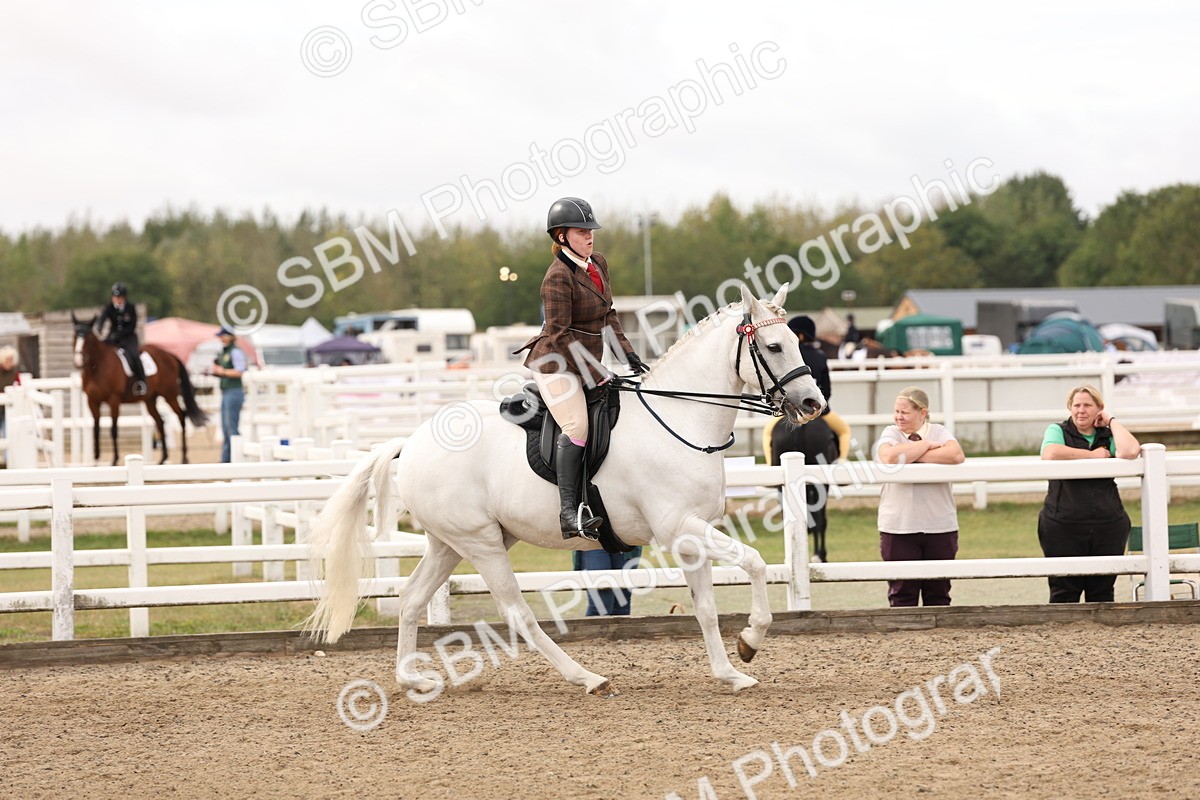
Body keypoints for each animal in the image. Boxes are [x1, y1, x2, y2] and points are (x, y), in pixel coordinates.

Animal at [72, 313, 210, 465]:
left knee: (181, 416)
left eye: (87, 339)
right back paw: (163, 459)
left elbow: (113, 429)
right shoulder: (92, 401)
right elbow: (96, 429)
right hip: (150, 400)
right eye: (75, 336)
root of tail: (169, 355)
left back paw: (184, 457)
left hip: (169, 395)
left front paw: (114, 460)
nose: (78, 361)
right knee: (160, 422)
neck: (96, 368)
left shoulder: (114, 400)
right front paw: (96, 460)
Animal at [306, 286, 826, 696]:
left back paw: (411, 679)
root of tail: (411, 442)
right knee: (517, 613)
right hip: (481, 543)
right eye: (774, 346)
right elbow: (754, 562)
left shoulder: (688, 537)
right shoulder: (680, 526)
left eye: (797, 342)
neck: (680, 420)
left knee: (413, 599)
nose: (813, 404)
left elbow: (706, 609)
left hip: (448, 543)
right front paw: (751, 640)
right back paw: (587, 678)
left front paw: (730, 672)